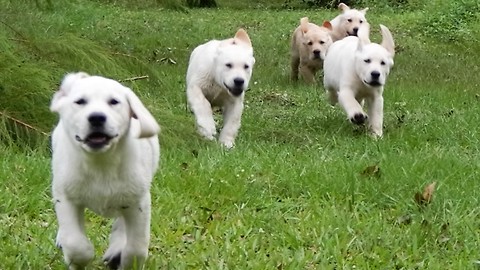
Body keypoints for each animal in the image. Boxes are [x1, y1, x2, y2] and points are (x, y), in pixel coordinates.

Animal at [50, 72, 160, 270]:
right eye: (80, 102)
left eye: (114, 102)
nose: (96, 118)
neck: (100, 164)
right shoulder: (66, 197)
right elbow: (75, 243)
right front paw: (78, 259)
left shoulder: (138, 202)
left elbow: (136, 248)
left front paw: (125, 260)